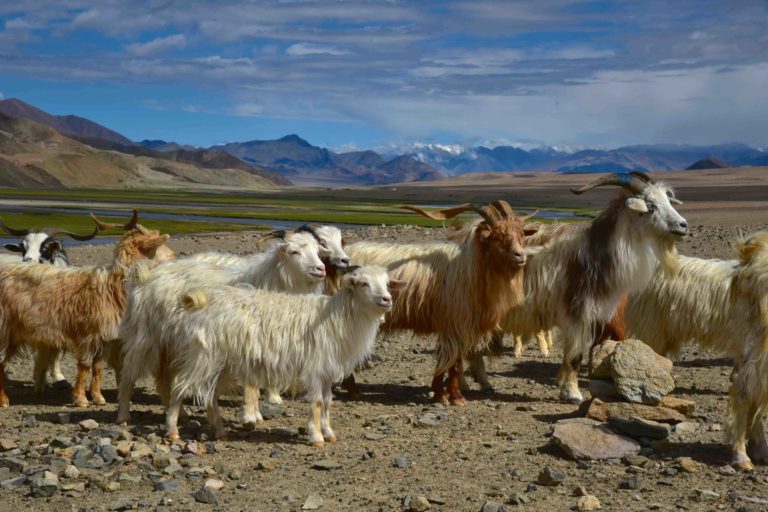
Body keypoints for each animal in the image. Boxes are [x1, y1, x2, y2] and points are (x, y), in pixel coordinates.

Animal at [0, 210, 174, 406]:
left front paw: (98, 397)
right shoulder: (86, 335)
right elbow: (84, 366)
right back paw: (4, 400)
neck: (112, 287)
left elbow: (98, 368)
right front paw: (80, 398)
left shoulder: (105, 338)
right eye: (167, 253)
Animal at [115, 230, 326, 426]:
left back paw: (179, 413)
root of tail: (146, 277)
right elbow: (251, 383)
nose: (321, 269)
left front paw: (266, 404)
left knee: (164, 379)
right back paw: (123, 415)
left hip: (169, 343)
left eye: (317, 251)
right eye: (294, 251)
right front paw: (251, 415)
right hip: (144, 338)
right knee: (128, 376)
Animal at [342, 200, 536, 404]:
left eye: (521, 233)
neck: (470, 269)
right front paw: (453, 397)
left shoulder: (454, 327)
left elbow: (451, 361)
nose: (520, 256)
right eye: (496, 235)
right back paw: (352, 389)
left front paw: (442, 393)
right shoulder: (454, 325)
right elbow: (452, 362)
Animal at [480, 172, 688, 404]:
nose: (683, 226)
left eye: (668, 200)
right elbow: (575, 355)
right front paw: (573, 393)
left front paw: (564, 386)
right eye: (650, 205)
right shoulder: (577, 312)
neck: (597, 254)